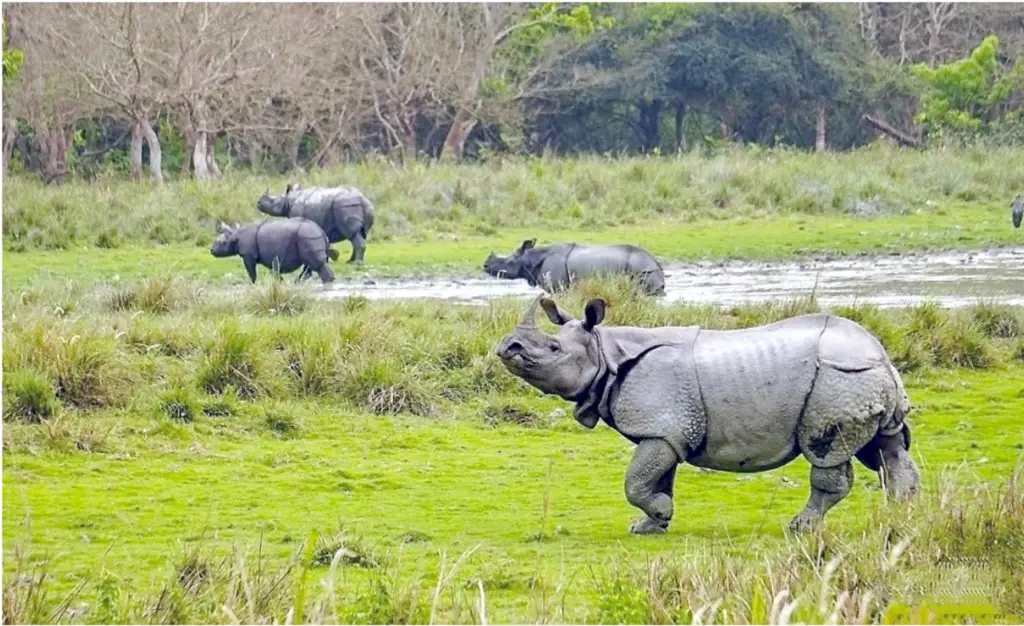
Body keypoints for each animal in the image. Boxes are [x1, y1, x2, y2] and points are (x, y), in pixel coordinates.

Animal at [210, 219, 339, 284]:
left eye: (222, 243)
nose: (211, 250)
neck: (235, 236)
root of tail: (321, 231)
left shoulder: (248, 255)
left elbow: (252, 272)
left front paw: (252, 284)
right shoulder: (268, 256)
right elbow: (274, 271)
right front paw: (281, 282)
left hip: (308, 236)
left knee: (316, 264)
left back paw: (328, 282)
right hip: (309, 237)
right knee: (309, 264)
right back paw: (299, 282)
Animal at [483, 240, 666, 296]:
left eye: (508, 262)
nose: (485, 265)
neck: (530, 259)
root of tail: (656, 263)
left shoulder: (558, 287)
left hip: (643, 270)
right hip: (646, 269)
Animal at [496, 295, 920, 535]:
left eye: (552, 349)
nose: (507, 347)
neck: (605, 352)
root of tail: (881, 354)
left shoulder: (661, 428)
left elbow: (635, 481)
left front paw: (657, 515)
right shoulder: (665, 430)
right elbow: (657, 478)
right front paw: (650, 525)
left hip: (838, 379)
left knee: (828, 454)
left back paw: (800, 528)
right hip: (859, 379)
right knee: (886, 448)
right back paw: (900, 518)